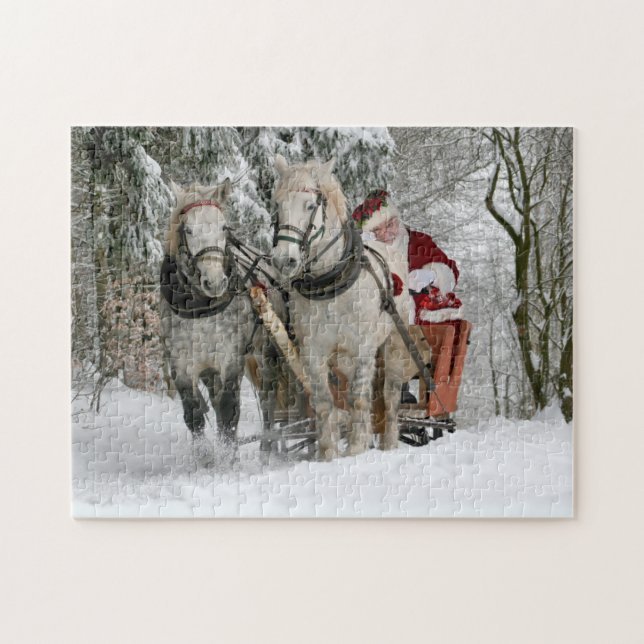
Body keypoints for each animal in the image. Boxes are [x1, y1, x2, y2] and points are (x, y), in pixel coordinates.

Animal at [159, 179, 265, 464]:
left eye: (223, 227)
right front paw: (204, 458)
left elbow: (228, 408)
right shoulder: (182, 365)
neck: (200, 309)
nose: (215, 282)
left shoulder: (231, 359)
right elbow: (193, 413)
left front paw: (228, 457)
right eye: (188, 229)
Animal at [271, 155, 409, 459]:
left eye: (310, 206)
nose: (283, 260)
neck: (330, 284)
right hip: (343, 360)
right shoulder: (313, 352)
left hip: (394, 346)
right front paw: (328, 453)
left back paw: (389, 443)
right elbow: (324, 401)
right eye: (278, 205)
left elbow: (359, 399)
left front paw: (356, 449)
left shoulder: (363, 349)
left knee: (390, 398)